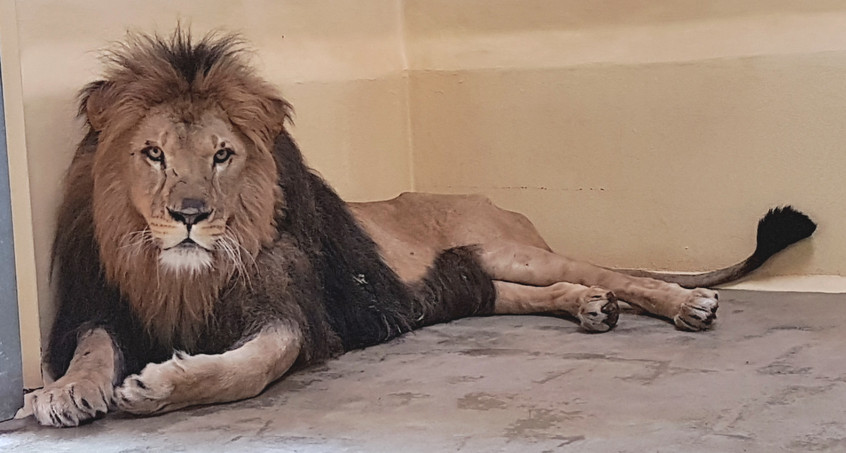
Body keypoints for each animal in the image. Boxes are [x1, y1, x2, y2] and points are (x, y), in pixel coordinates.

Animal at [16, 30, 820, 426]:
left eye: (222, 154)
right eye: (152, 154)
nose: (188, 217)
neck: (180, 274)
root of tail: (492, 200)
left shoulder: (293, 312)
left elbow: (249, 367)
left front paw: (159, 386)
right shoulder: (108, 301)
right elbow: (91, 347)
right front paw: (63, 393)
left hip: (508, 246)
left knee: (611, 270)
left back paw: (683, 304)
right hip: (470, 279)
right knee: (542, 291)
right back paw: (591, 310)